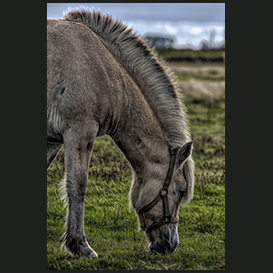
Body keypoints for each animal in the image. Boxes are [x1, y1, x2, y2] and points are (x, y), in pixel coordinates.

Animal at [47, 10, 194, 258]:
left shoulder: (52, 140)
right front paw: (79, 245)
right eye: (181, 192)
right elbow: (77, 186)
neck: (103, 68)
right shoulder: (80, 132)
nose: (170, 245)